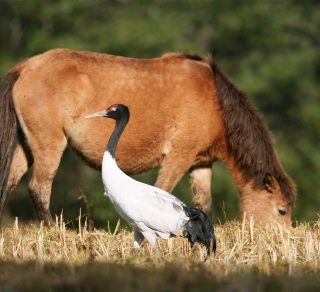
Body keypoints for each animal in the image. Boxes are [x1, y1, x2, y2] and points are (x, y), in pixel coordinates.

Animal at [0, 49, 296, 225]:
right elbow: (162, 191)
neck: (216, 103)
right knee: (39, 188)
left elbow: (204, 204)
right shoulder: (179, 157)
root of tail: (26, 67)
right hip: (49, 144)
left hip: (26, 147)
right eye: (281, 210)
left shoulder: (201, 163)